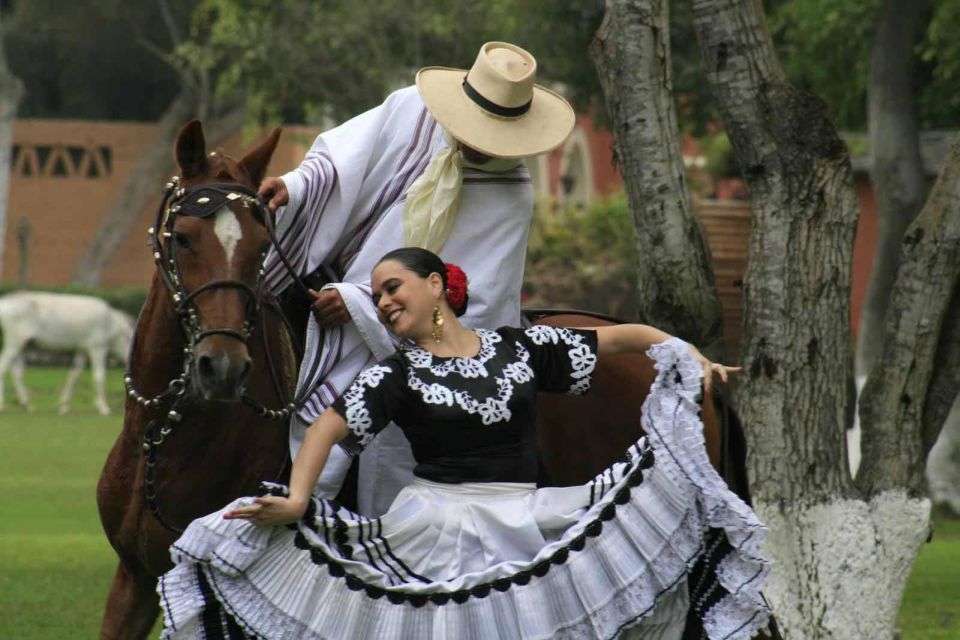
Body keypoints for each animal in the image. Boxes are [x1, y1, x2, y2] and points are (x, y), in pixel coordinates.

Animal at [0, 292, 135, 416]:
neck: (111, 323)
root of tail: (5, 302)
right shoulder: (97, 348)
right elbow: (99, 376)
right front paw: (103, 407)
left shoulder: (82, 350)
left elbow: (74, 375)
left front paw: (64, 405)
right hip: (14, 343)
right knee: (3, 368)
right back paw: (3, 405)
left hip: (22, 346)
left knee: (17, 374)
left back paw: (26, 404)